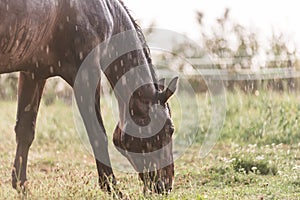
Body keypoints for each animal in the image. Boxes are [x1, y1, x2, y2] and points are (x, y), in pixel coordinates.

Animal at [0, 0, 177, 195]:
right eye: (170, 129)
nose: (165, 186)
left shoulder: (33, 74)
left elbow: (25, 131)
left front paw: (21, 186)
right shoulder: (86, 73)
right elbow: (97, 133)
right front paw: (112, 188)